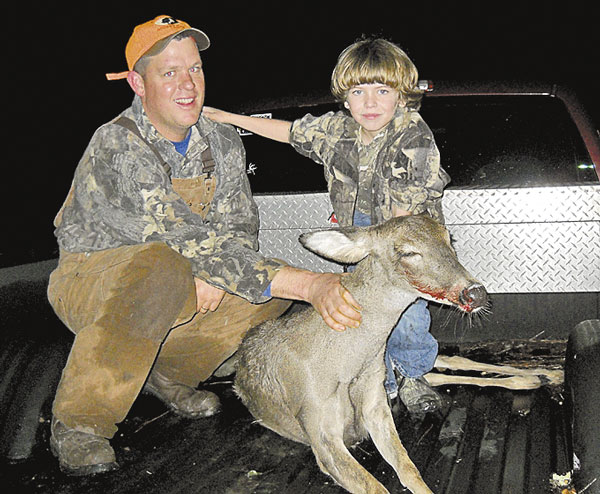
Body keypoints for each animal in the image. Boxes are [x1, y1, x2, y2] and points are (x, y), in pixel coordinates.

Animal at [233, 215, 558, 494]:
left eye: (448, 238)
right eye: (407, 252)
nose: (476, 293)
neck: (348, 363)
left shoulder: (376, 405)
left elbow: (409, 469)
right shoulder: (320, 432)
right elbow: (376, 486)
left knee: (453, 360)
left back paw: (544, 375)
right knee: (442, 371)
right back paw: (537, 377)